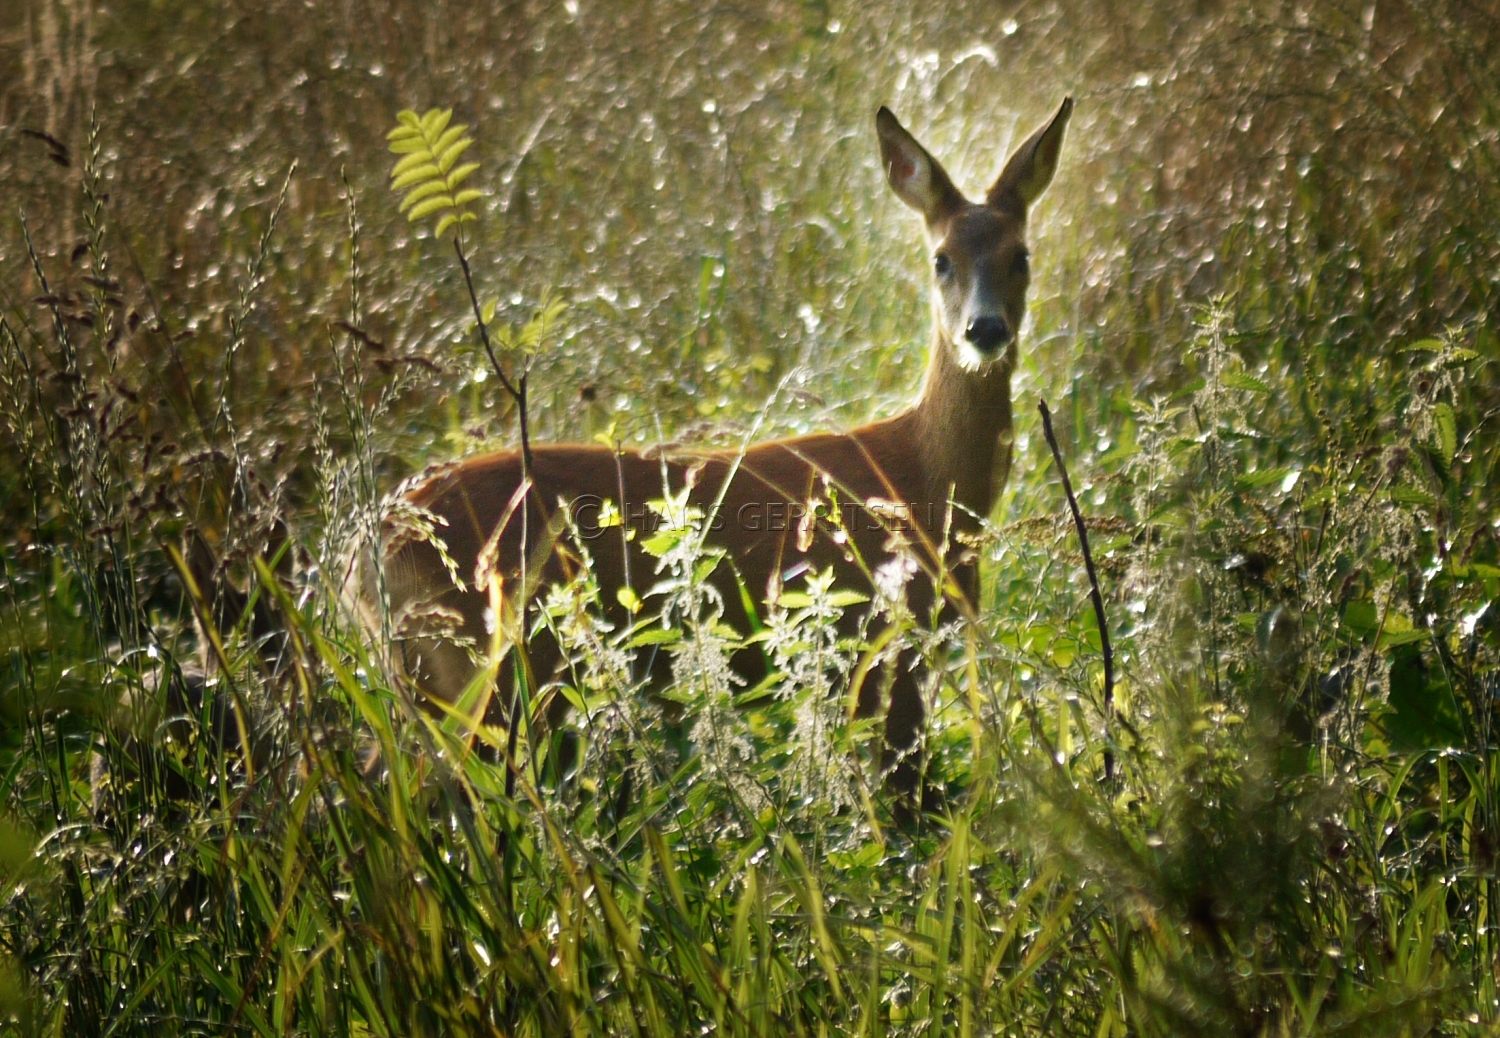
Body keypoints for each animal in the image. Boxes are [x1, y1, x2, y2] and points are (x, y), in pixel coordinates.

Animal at [363, 98, 1073, 802]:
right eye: (942, 259)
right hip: (492, 666)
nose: (985, 329)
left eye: (1021, 256)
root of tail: (368, 549)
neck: (923, 476)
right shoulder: (887, 650)